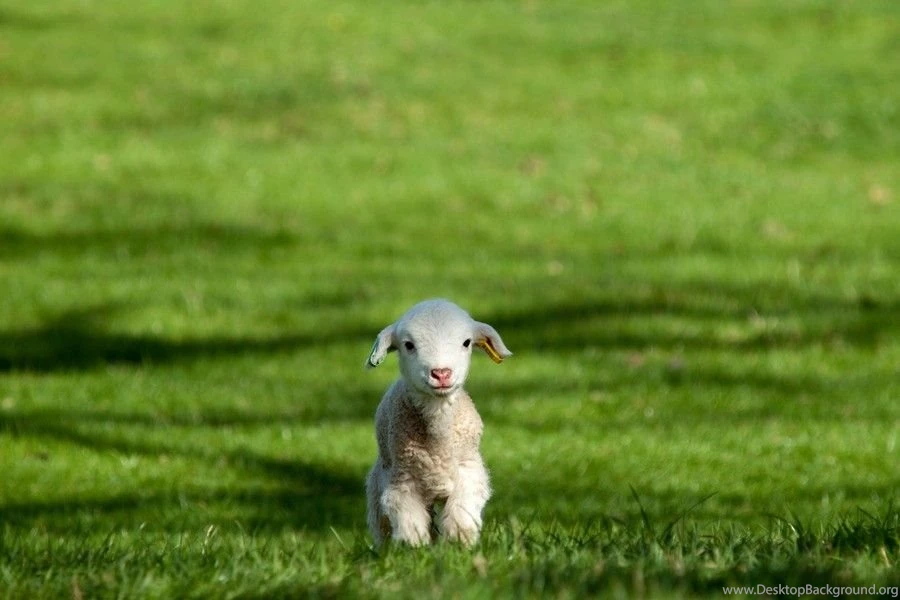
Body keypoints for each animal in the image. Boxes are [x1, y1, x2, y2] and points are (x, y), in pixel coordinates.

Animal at [364, 299, 512, 547]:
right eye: (408, 345)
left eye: (466, 342)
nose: (441, 373)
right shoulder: (402, 480)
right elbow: (410, 522)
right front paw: (415, 548)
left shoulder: (468, 470)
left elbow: (462, 512)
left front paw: (458, 543)